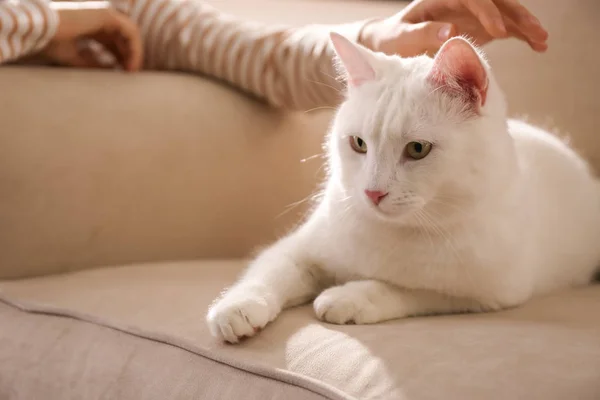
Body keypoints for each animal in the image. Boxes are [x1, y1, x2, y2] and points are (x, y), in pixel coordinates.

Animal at [206, 33, 600, 344]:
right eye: (359, 144)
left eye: (418, 149)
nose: (372, 193)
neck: (393, 232)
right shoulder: (300, 247)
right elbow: (271, 269)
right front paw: (237, 307)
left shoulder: (489, 294)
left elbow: (407, 289)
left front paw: (349, 298)